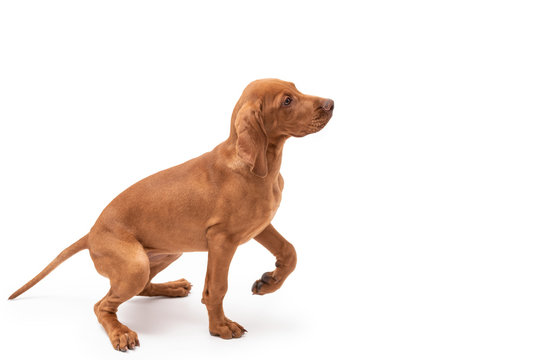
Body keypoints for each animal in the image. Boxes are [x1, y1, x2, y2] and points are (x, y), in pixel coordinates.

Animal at [8, 79, 334, 352]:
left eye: (296, 87)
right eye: (287, 101)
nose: (331, 103)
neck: (261, 164)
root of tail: (90, 233)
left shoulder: (260, 226)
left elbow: (290, 252)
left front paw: (269, 282)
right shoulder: (222, 240)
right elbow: (217, 288)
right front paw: (220, 327)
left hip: (168, 251)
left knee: (140, 288)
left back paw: (173, 287)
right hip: (136, 264)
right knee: (102, 305)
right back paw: (120, 333)